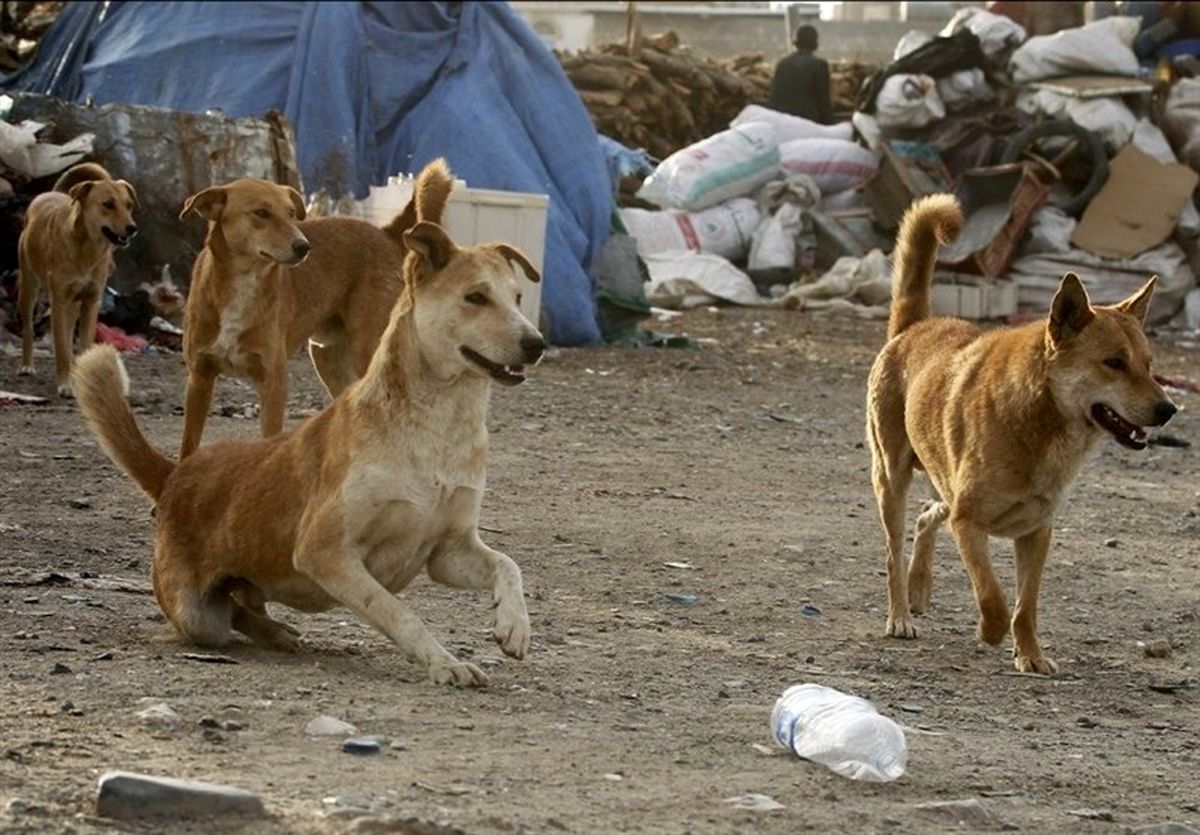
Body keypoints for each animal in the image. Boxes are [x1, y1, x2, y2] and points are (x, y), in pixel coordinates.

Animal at [16, 164, 138, 400]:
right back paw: (27, 365)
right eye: (108, 204)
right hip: (28, 286)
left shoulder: (91, 301)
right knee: (28, 328)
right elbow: (62, 348)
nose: (132, 228)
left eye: (128, 205)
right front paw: (65, 384)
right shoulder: (59, 302)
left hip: (73, 303)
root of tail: (51, 193)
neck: (87, 248)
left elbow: (84, 344)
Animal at [178, 155, 453, 455]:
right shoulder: (199, 379)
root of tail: (385, 233)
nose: (303, 246)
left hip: (367, 350)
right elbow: (188, 445)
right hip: (327, 359)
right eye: (261, 213)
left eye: (291, 213)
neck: (243, 283)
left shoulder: (273, 382)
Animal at [868, 194, 1176, 671]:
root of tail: (913, 327)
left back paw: (919, 588)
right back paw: (901, 614)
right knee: (893, 551)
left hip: (942, 483)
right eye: (1114, 363)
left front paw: (1030, 655)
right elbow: (993, 598)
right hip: (891, 479)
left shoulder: (1036, 533)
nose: (1169, 410)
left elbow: (1025, 606)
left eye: (1149, 364)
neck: (1041, 422)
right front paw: (989, 632)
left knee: (927, 513)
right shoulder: (968, 523)